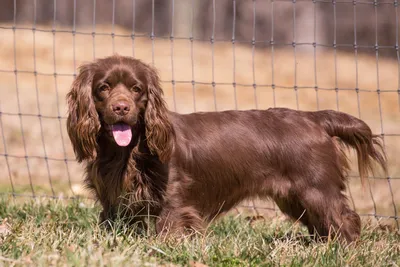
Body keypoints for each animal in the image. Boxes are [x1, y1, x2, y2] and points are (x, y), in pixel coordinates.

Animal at [67, 54, 386, 243]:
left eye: (137, 89)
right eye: (104, 87)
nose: (121, 107)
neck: (127, 153)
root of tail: (314, 118)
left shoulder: (173, 201)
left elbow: (168, 232)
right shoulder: (112, 201)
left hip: (317, 189)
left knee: (346, 220)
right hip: (295, 197)